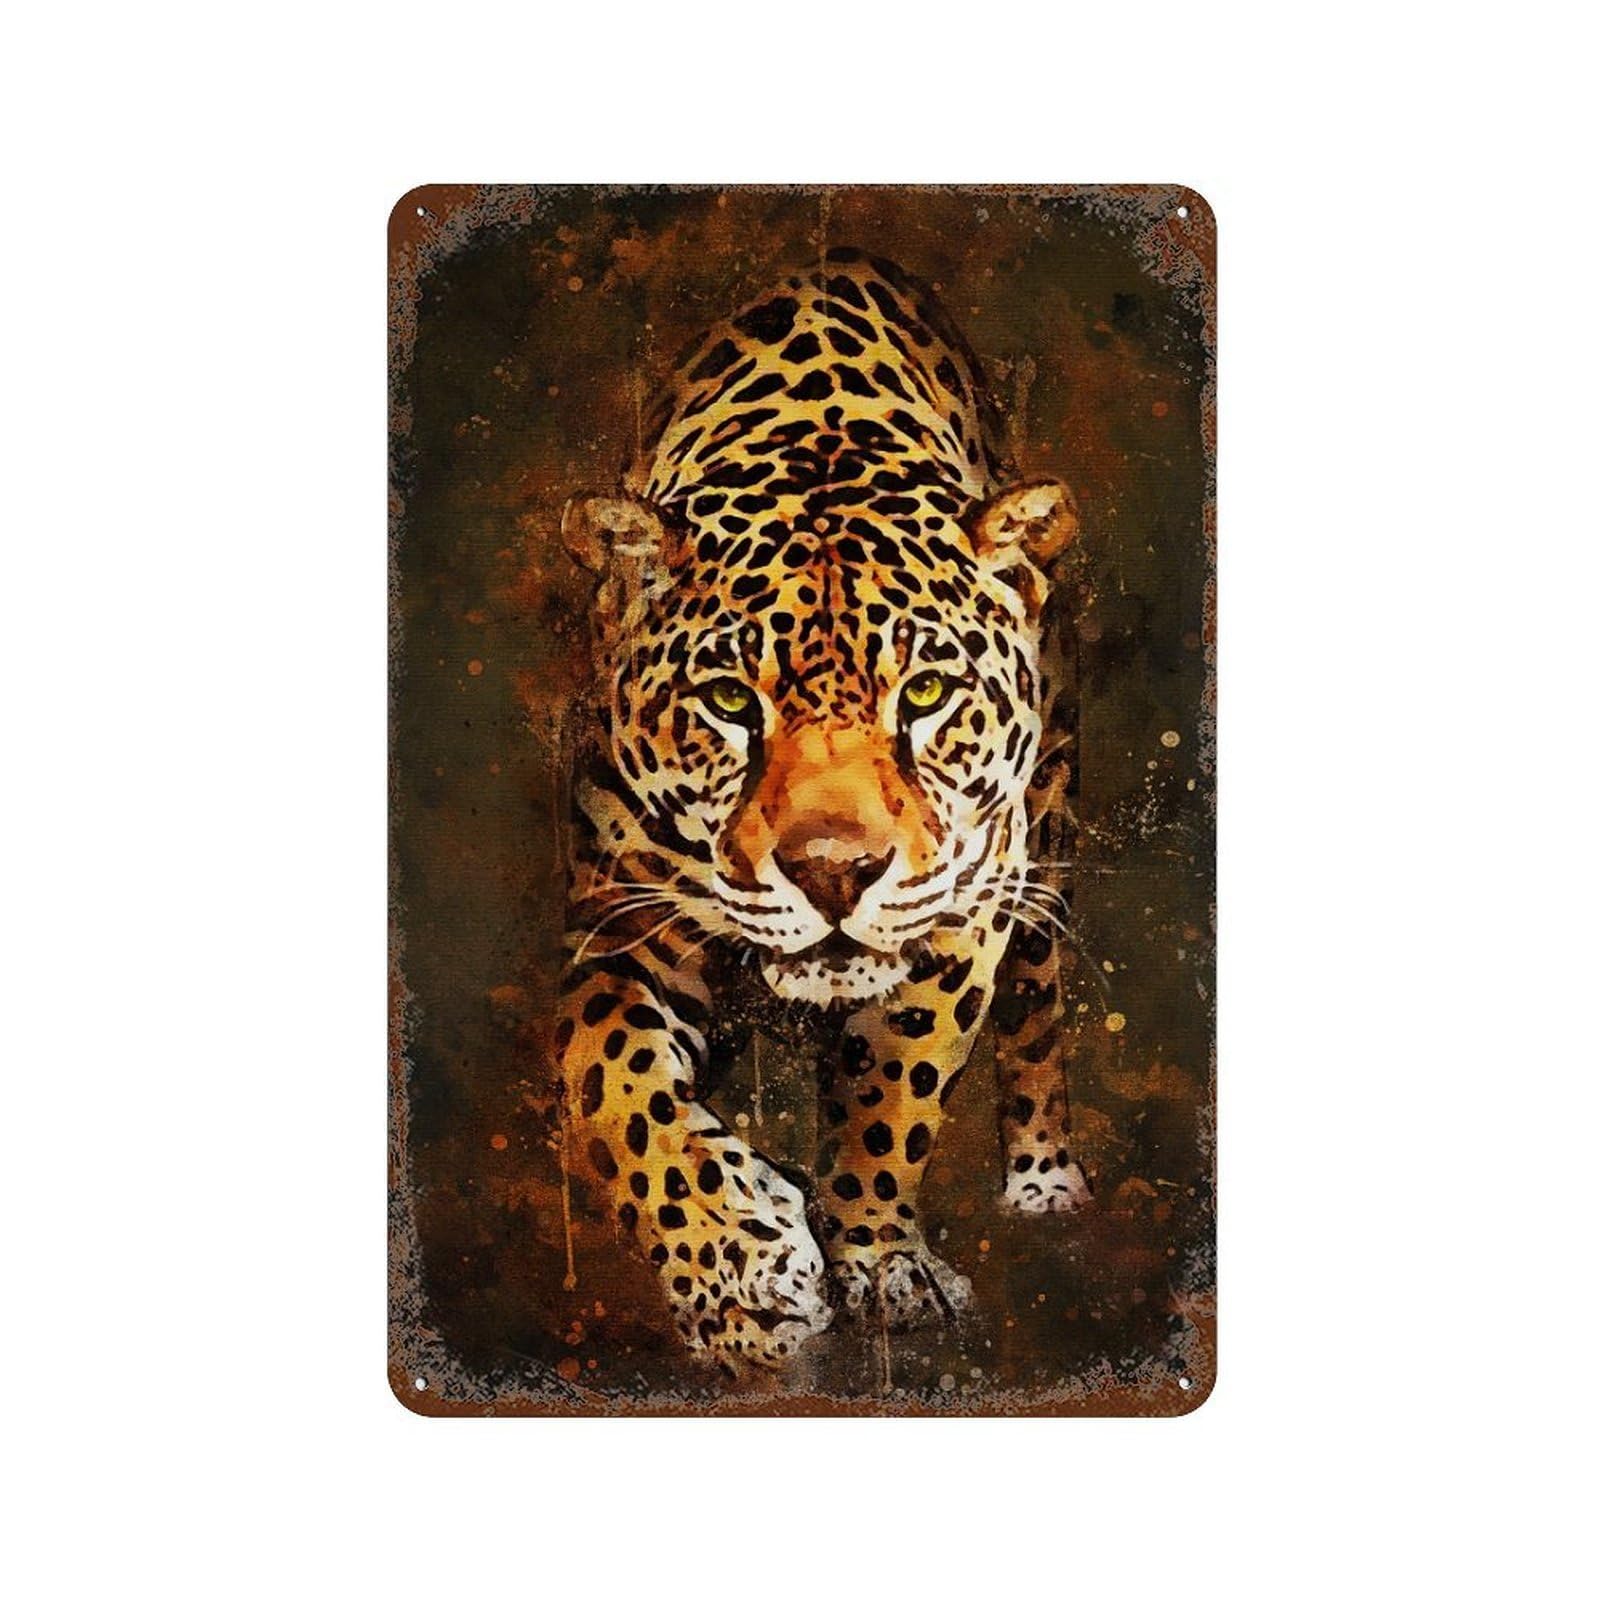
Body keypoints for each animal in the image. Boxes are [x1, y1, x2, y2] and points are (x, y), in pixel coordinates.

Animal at [555, 247, 1092, 1371]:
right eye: (729, 701)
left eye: (924, 693)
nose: (833, 872)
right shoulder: (620, 924)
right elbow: (616, 1088)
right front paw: (743, 1271)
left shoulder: (965, 910)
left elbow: (894, 1090)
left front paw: (878, 1262)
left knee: (1037, 1012)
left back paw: (1044, 1180)